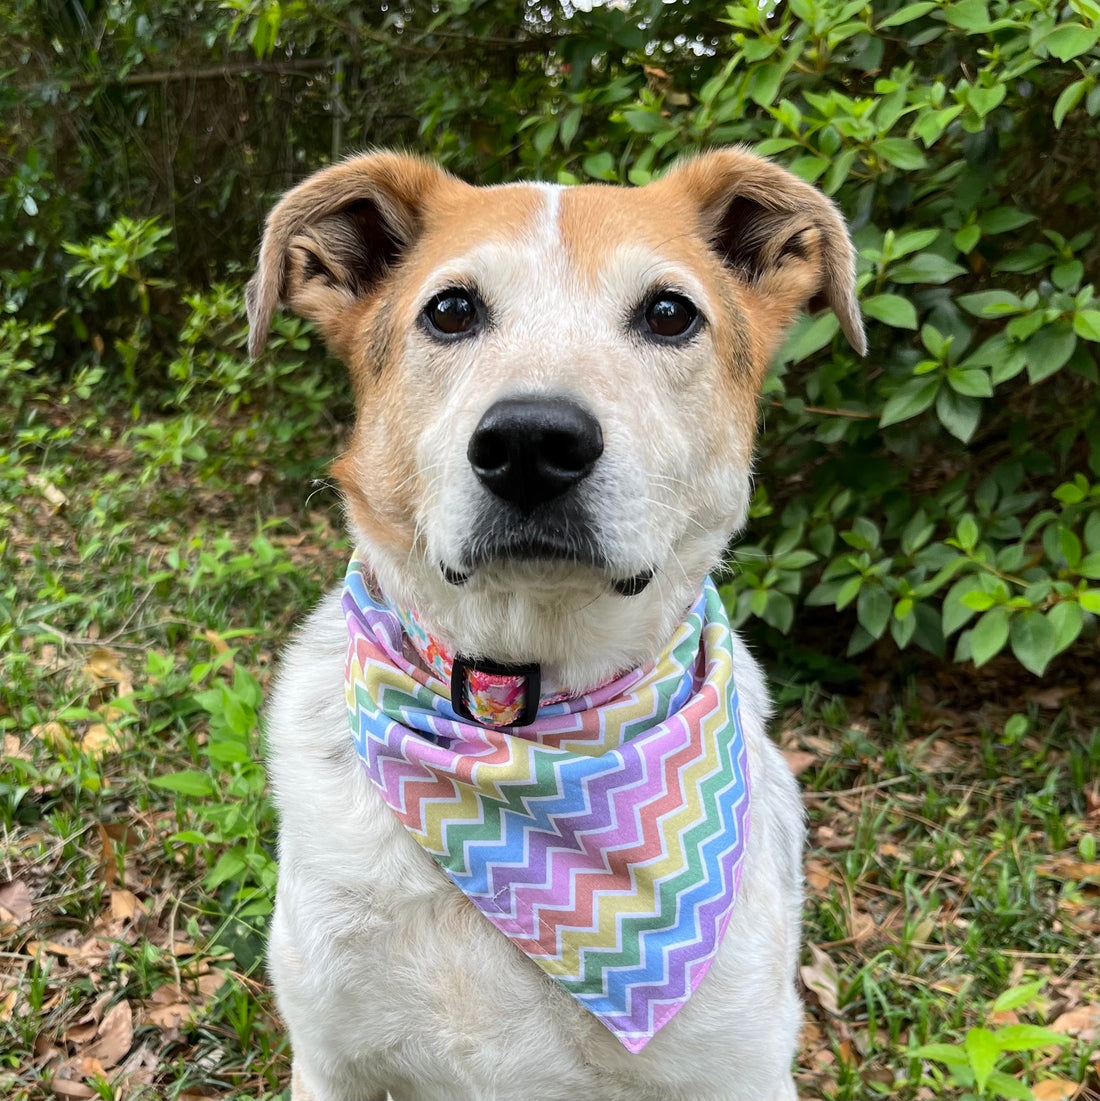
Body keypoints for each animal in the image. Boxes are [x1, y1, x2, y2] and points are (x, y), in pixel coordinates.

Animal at [249, 148, 867, 1101]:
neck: (520, 706)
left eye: (668, 313)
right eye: (452, 309)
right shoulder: (329, 1059)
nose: (532, 442)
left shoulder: (737, 1071)